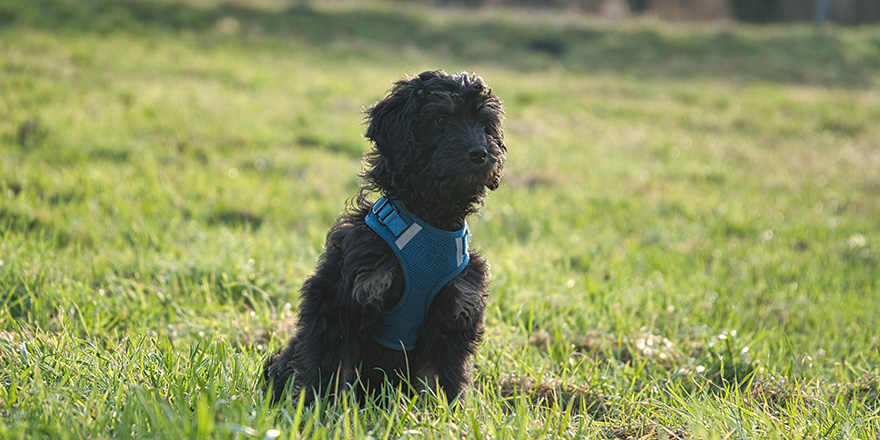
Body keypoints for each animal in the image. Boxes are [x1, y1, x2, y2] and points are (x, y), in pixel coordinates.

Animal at [262, 69, 506, 406]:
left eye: (484, 125)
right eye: (440, 119)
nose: (480, 153)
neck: (430, 221)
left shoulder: (457, 310)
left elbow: (439, 378)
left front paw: (439, 413)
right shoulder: (341, 301)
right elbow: (329, 366)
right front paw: (320, 408)